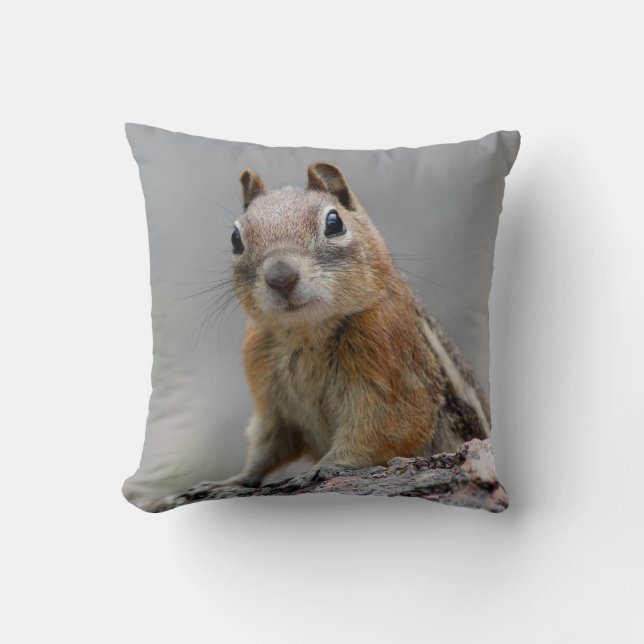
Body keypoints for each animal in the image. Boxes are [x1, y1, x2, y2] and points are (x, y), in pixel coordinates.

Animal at [207, 162, 491, 489]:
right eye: (235, 238)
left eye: (334, 223)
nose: (281, 277)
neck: (306, 332)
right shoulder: (271, 403)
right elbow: (266, 447)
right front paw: (231, 480)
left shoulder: (391, 374)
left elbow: (382, 432)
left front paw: (323, 467)